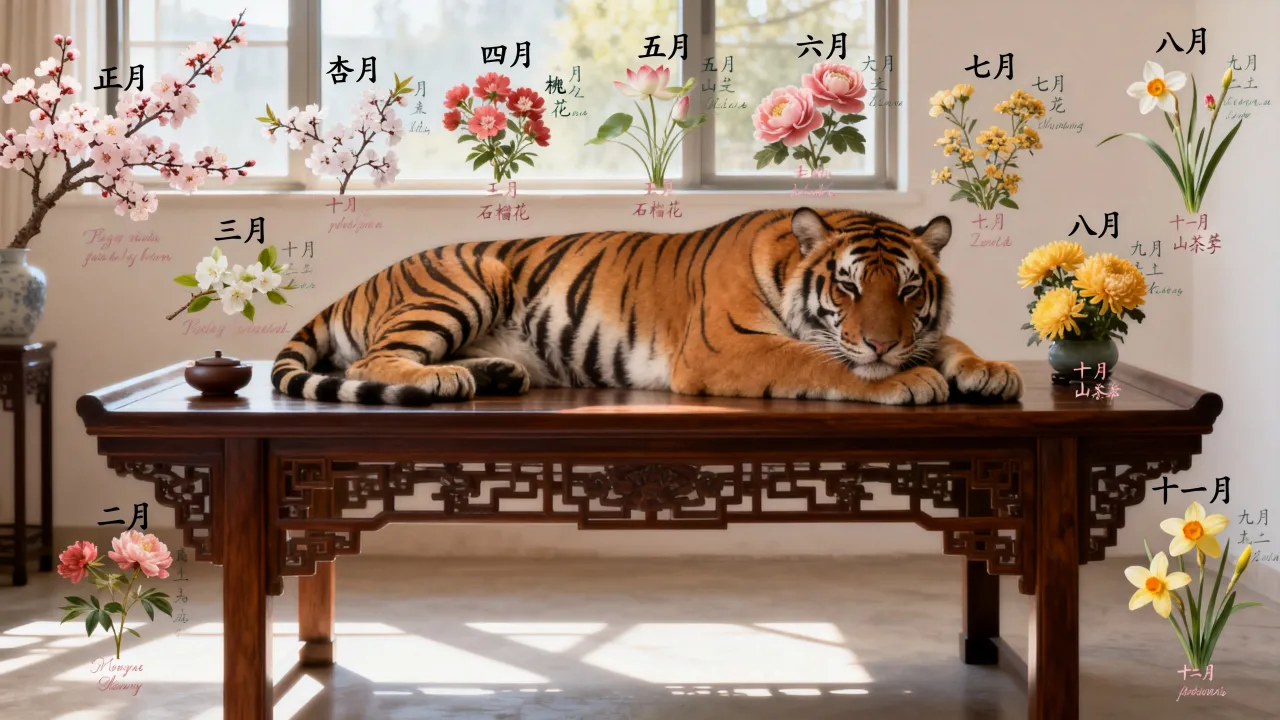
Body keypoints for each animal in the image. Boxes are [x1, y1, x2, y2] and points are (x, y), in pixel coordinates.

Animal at [271, 207, 1023, 406]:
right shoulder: (726, 348)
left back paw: (496, 375)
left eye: (909, 290)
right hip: (466, 279)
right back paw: (448, 379)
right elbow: (823, 361)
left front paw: (989, 369)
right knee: (374, 361)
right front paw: (908, 379)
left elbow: (950, 342)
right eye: (847, 288)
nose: (883, 344)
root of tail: (359, 283)